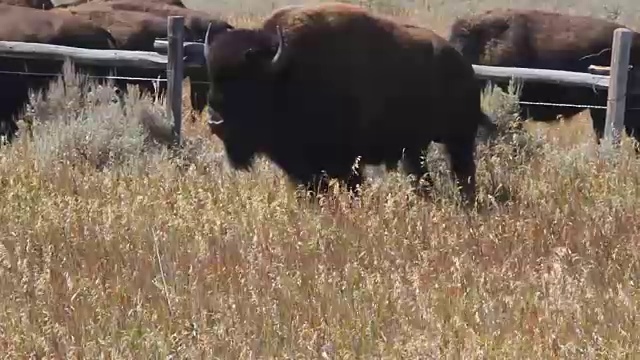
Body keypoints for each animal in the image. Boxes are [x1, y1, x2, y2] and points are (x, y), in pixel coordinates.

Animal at [202, 2, 492, 205]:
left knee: (463, 171)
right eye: (212, 78)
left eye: (247, 85)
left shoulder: (347, 160)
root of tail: (463, 66)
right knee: (422, 174)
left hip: (458, 138)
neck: (285, 73)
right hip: (415, 147)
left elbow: (350, 185)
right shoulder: (300, 165)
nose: (216, 123)